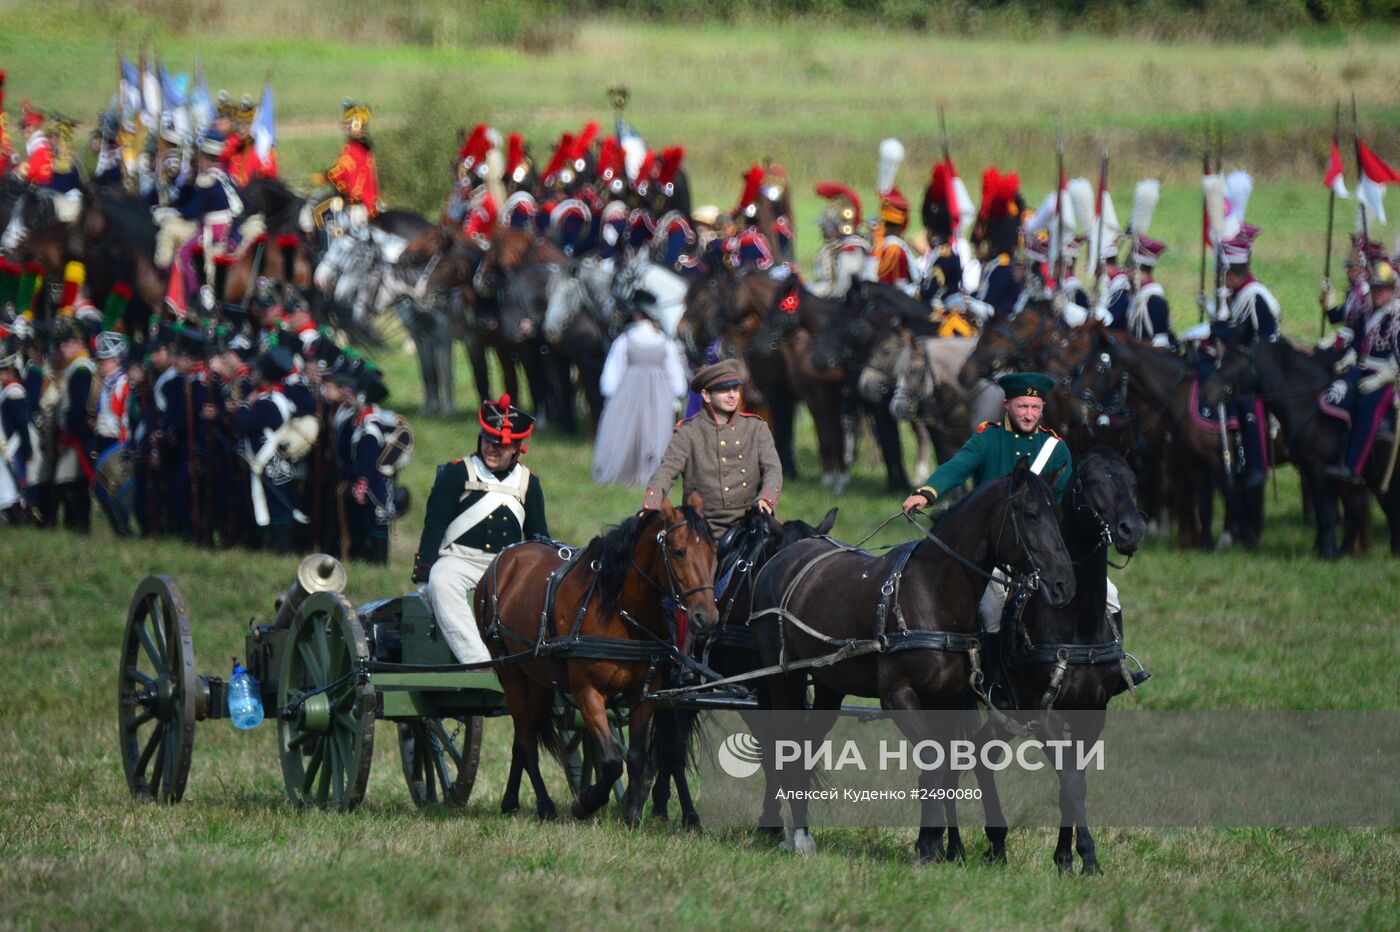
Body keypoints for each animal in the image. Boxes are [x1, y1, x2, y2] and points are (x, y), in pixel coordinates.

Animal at [478, 489, 722, 822]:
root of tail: (505, 558)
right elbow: (610, 760)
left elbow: (636, 757)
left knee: (523, 734)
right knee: (526, 738)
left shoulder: (643, 695)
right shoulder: (588, 692)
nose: (706, 617)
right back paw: (544, 804)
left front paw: (632, 814)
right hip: (509, 671)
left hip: (539, 679)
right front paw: (585, 802)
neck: (619, 610)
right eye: (678, 551)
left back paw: (510, 801)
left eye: (713, 550)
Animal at [750, 461, 1075, 862]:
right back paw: (796, 836)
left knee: (808, 745)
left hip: (829, 685)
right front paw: (929, 846)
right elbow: (933, 764)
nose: (1064, 584)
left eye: (1058, 515)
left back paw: (804, 832)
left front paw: (934, 843)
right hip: (784, 677)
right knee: (786, 746)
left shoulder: (949, 700)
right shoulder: (898, 697)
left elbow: (945, 767)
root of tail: (782, 557)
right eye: (1030, 515)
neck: (934, 593)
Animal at [974, 447, 1148, 873]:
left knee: (981, 751)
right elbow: (1070, 781)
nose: (1132, 530)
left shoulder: (1092, 713)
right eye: (1089, 482)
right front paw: (1088, 856)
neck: (1076, 621)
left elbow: (1076, 779)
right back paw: (996, 842)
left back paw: (998, 842)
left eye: (1133, 481)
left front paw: (1067, 857)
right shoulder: (1043, 714)